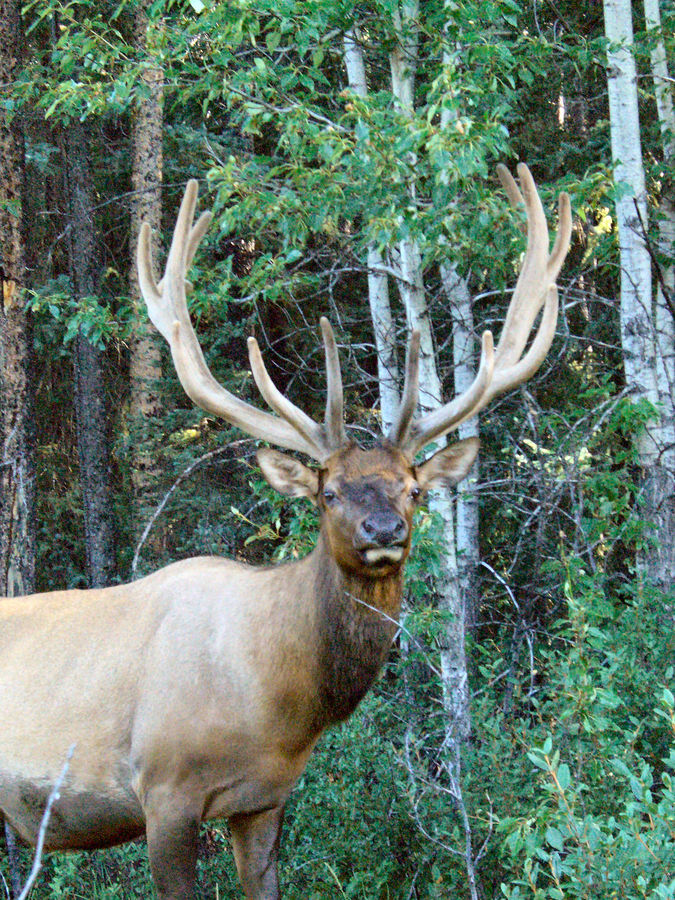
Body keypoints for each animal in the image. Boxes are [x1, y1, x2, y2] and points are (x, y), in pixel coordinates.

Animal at [0, 165, 572, 896]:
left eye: (413, 489)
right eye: (327, 493)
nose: (383, 527)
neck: (274, 700)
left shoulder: (265, 799)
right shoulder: (164, 789)